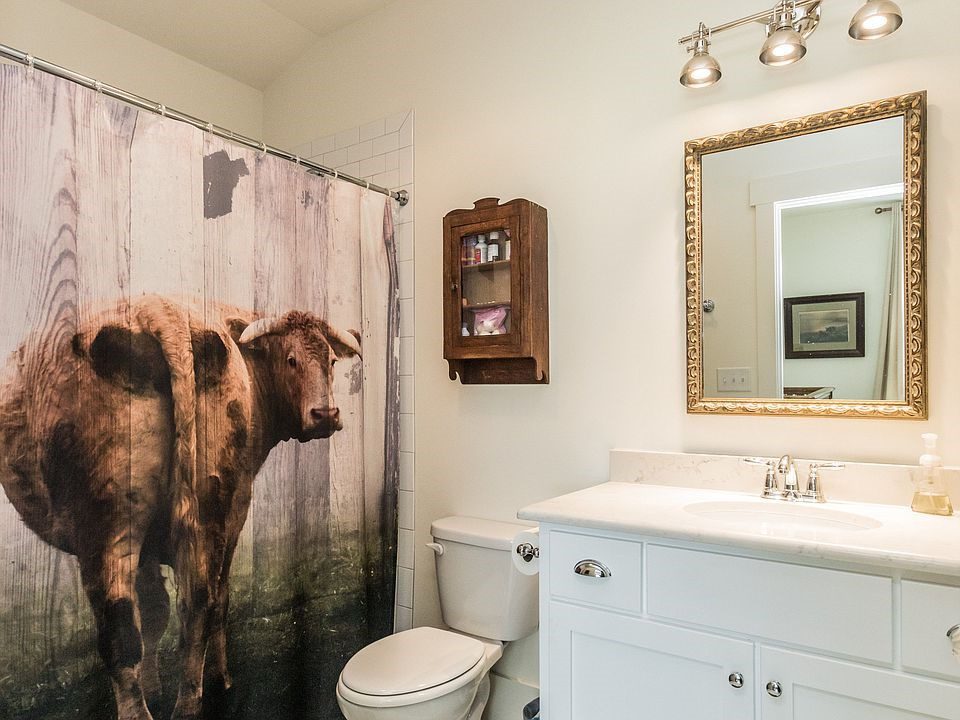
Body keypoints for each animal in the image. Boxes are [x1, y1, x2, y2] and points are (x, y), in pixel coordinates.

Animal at [0, 294, 360, 720]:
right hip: (203, 511)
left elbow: (155, 612)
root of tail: (157, 312)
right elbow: (171, 608)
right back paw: (194, 699)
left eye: (332, 361)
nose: (326, 415)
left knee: (125, 630)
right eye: (291, 359)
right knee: (198, 604)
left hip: (109, 527)